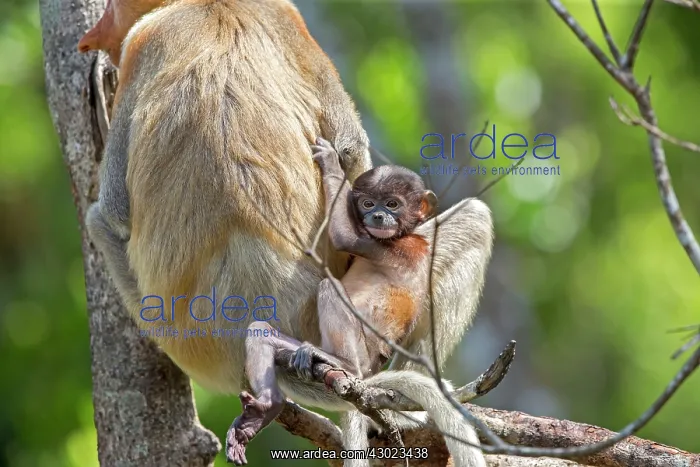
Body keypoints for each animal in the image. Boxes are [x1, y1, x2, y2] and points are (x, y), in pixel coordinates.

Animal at [227, 137, 488, 466]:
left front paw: (331, 164)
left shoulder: (398, 248)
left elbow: (344, 239)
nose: (377, 216)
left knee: (329, 289)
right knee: (260, 333)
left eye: (392, 204)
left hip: (363, 354)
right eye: (368, 203)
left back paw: (343, 364)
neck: (401, 235)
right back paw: (265, 409)